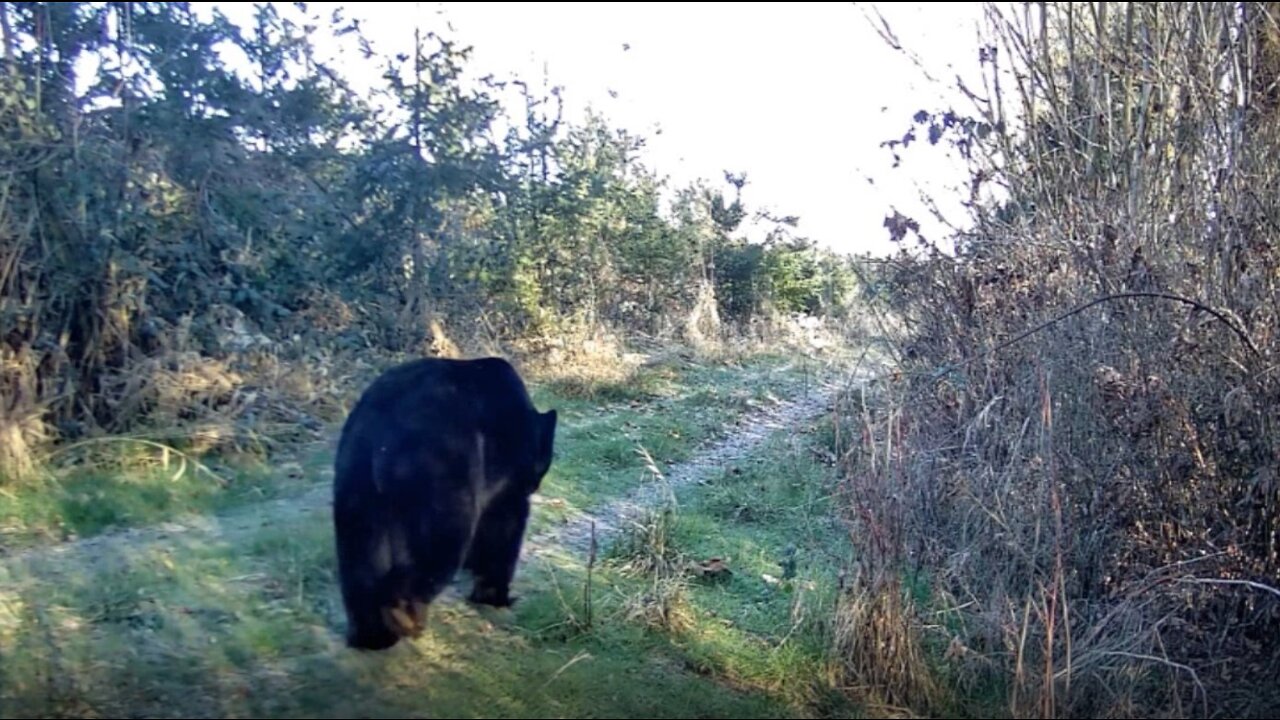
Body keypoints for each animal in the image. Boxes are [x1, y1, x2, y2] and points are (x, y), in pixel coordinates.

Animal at [330, 356, 555, 648]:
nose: (536, 484)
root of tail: (384, 431)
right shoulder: (506, 480)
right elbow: (503, 529)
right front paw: (495, 596)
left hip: (356, 482)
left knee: (359, 555)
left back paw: (371, 636)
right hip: (443, 476)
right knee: (440, 543)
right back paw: (404, 617)